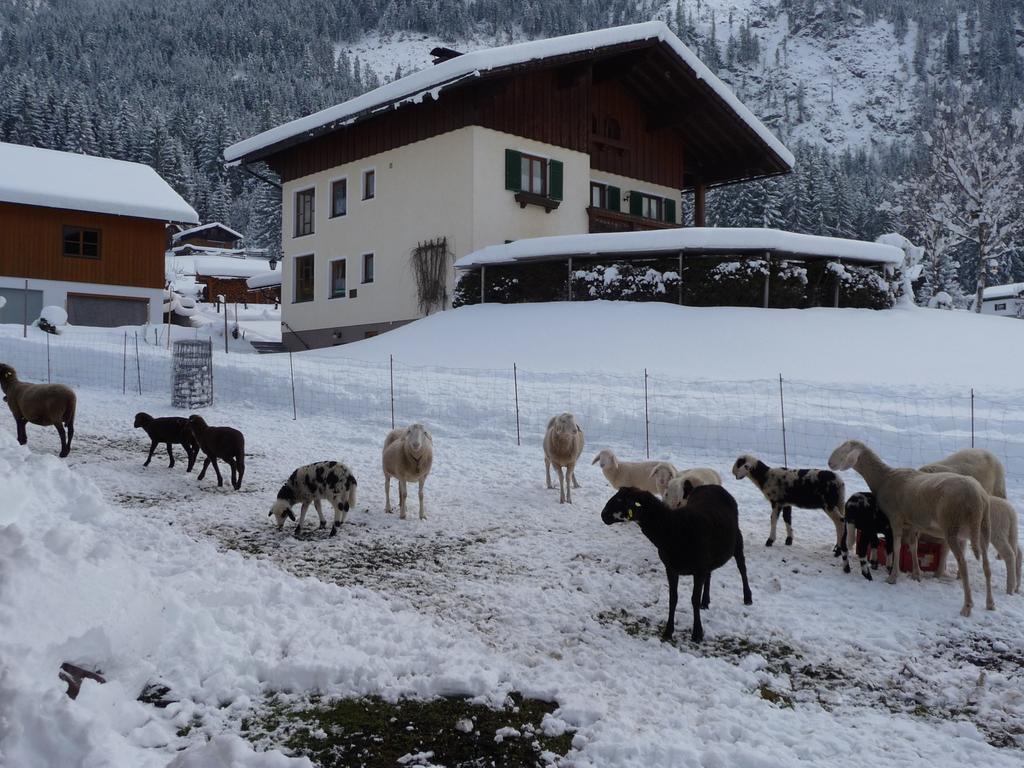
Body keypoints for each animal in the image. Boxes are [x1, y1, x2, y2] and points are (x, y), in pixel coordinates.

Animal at [598, 487, 753, 643]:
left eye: (621, 500)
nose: (603, 515)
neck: (674, 529)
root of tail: (715, 487)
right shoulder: (671, 568)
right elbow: (673, 598)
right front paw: (668, 631)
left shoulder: (698, 570)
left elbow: (694, 600)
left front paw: (697, 633)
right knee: (710, 574)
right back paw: (705, 601)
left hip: (737, 542)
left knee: (742, 568)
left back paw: (747, 598)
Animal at [831, 442, 991, 618]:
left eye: (844, 449)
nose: (829, 463)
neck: (884, 478)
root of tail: (978, 498)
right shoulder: (913, 524)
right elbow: (913, 546)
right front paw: (916, 574)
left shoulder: (895, 519)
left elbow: (896, 547)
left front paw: (893, 576)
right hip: (982, 530)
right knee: (986, 565)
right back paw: (990, 604)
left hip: (952, 528)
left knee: (963, 564)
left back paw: (967, 606)